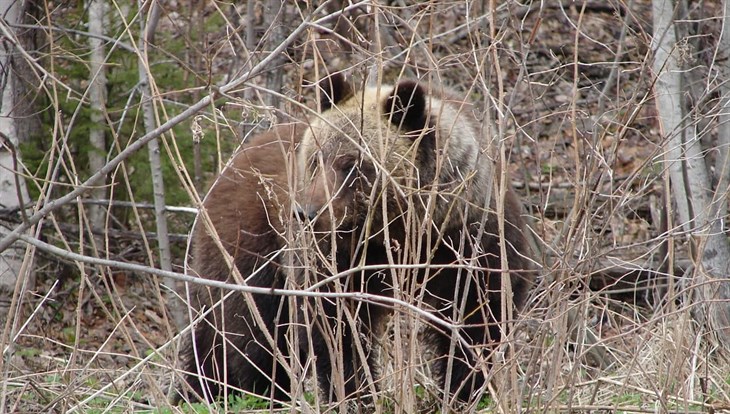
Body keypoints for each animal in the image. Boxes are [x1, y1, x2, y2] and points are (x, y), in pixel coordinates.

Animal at [173, 73, 532, 406]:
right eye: (316, 159)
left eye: (353, 165)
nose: (306, 212)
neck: (401, 231)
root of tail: (230, 165)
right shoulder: (333, 257)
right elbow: (335, 328)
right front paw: (356, 392)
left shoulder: (471, 240)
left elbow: (478, 318)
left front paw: (464, 390)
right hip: (249, 245)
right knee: (248, 330)